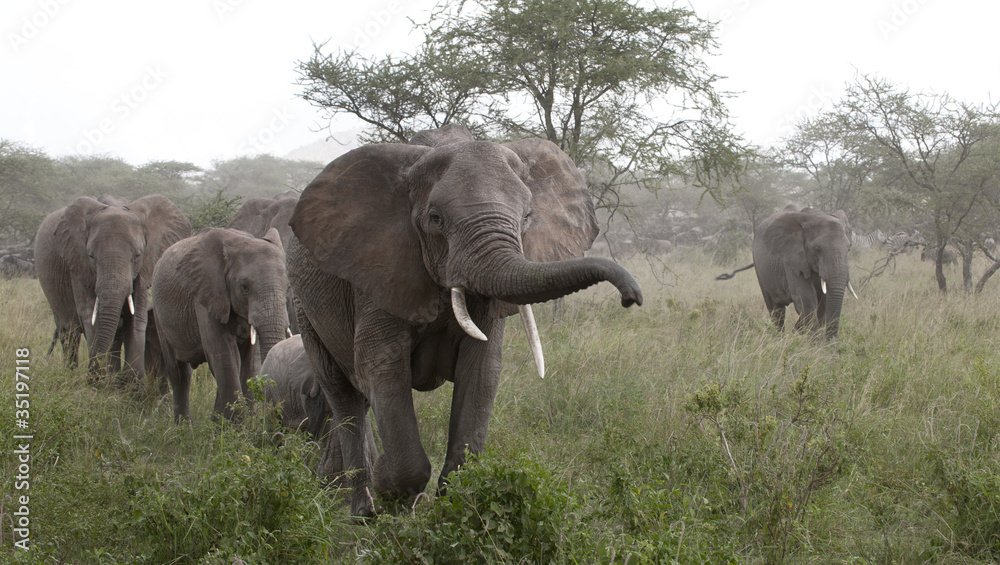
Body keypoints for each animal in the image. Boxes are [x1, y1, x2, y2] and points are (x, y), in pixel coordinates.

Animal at [34, 195, 191, 379]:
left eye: (138, 255)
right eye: (91, 256)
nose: (91, 378)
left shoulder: (143, 269)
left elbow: (136, 318)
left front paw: (132, 383)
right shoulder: (78, 265)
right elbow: (91, 317)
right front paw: (103, 382)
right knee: (69, 333)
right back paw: (72, 373)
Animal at [152, 227, 291, 421]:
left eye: (287, 287)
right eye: (244, 287)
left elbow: (250, 361)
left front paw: (237, 423)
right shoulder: (207, 294)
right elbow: (224, 354)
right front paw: (233, 424)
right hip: (159, 314)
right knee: (179, 373)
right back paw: (185, 427)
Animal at [286, 127, 643, 516]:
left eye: (527, 216)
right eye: (435, 218)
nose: (632, 297)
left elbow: (482, 369)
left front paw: (454, 507)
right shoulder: (380, 271)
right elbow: (382, 368)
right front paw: (389, 491)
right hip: (304, 307)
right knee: (343, 394)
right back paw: (363, 510)